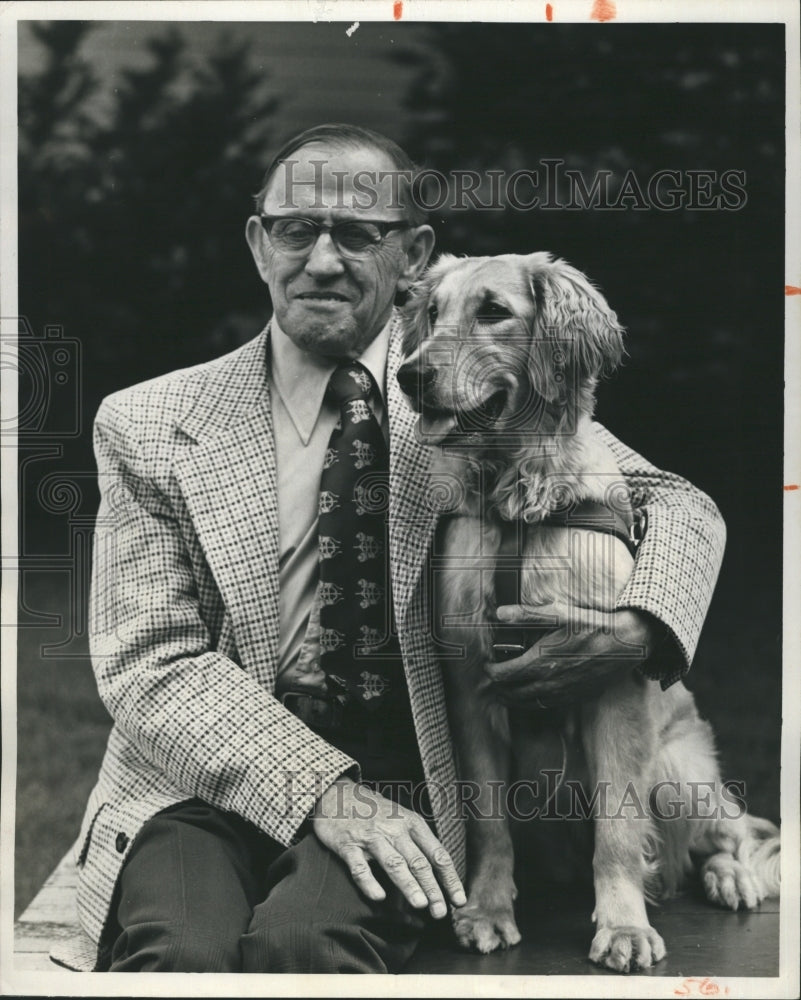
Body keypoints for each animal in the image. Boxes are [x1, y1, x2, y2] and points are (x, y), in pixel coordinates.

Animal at [396, 254, 780, 972]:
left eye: (493, 311)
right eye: (432, 313)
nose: (409, 375)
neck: (517, 499)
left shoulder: (612, 678)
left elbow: (619, 832)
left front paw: (624, 926)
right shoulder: (470, 690)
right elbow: (488, 820)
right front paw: (487, 910)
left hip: (680, 771)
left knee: (728, 833)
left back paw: (731, 877)